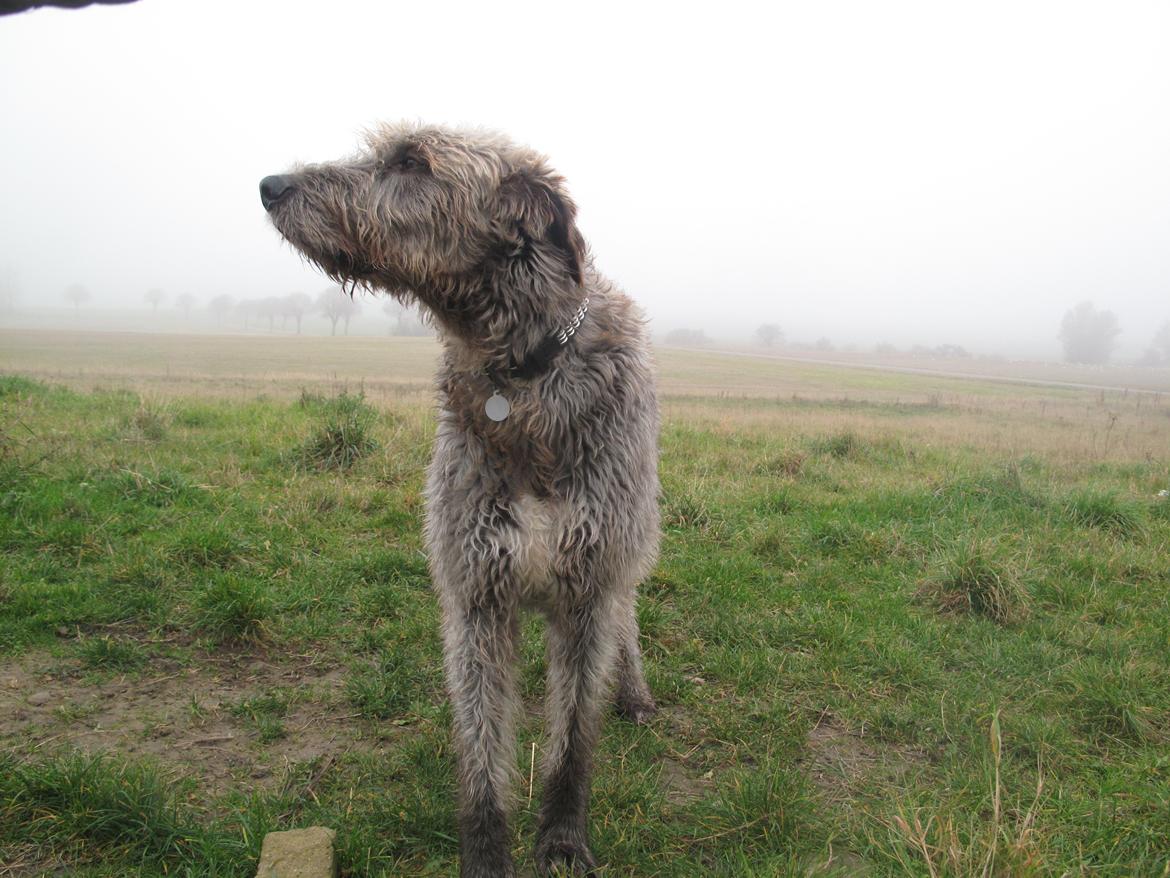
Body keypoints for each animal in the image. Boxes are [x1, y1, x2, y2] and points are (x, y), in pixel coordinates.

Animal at [263, 125, 659, 878]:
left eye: (412, 162)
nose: (271, 186)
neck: (521, 378)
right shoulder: (477, 593)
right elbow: (480, 751)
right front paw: (484, 852)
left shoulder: (587, 581)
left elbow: (572, 738)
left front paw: (562, 838)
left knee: (625, 619)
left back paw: (634, 692)